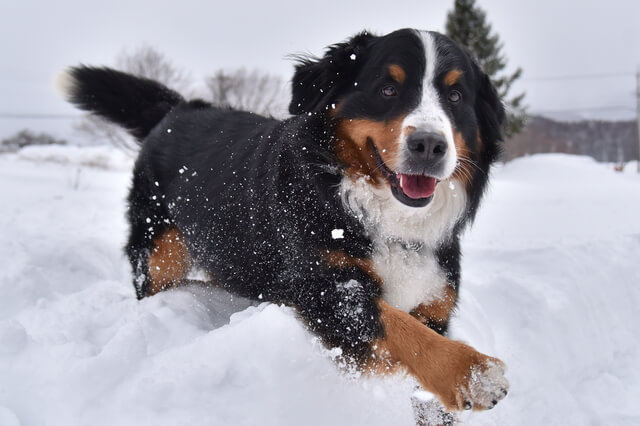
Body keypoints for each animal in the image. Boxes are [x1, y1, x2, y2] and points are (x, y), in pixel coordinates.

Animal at [60, 28, 510, 414]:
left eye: (456, 95)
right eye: (387, 88)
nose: (429, 145)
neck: (389, 220)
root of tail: (179, 110)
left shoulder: (436, 303)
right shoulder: (321, 286)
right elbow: (399, 326)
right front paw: (473, 373)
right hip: (158, 254)